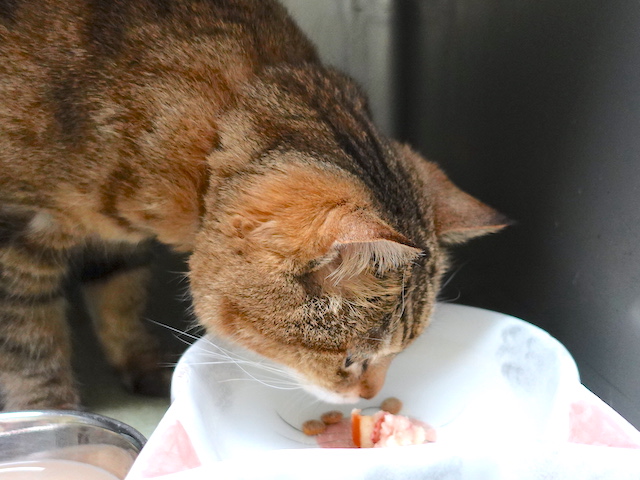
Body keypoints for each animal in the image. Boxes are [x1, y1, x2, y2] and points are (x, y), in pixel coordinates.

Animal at [0, 0, 504, 410]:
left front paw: (143, 363)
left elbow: (119, 298)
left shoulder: (117, 243)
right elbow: (28, 345)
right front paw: (53, 419)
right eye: (352, 359)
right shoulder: (19, 234)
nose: (371, 396)